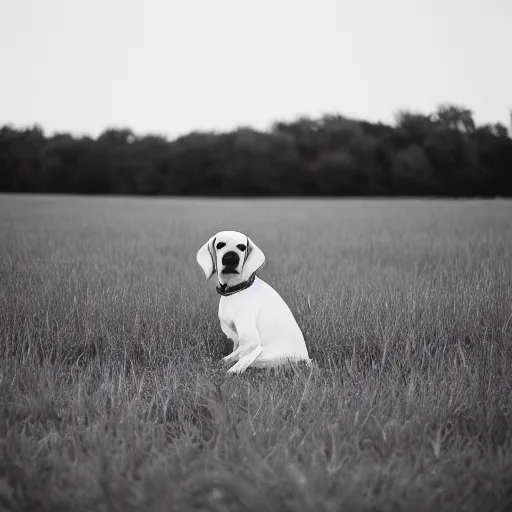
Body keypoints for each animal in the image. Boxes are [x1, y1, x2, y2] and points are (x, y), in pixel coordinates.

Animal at [196, 231, 310, 372]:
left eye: (242, 247)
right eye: (220, 245)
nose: (231, 257)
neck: (237, 290)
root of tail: (306, 358)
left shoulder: (250, 340)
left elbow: (228, 358)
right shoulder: (236, 338)